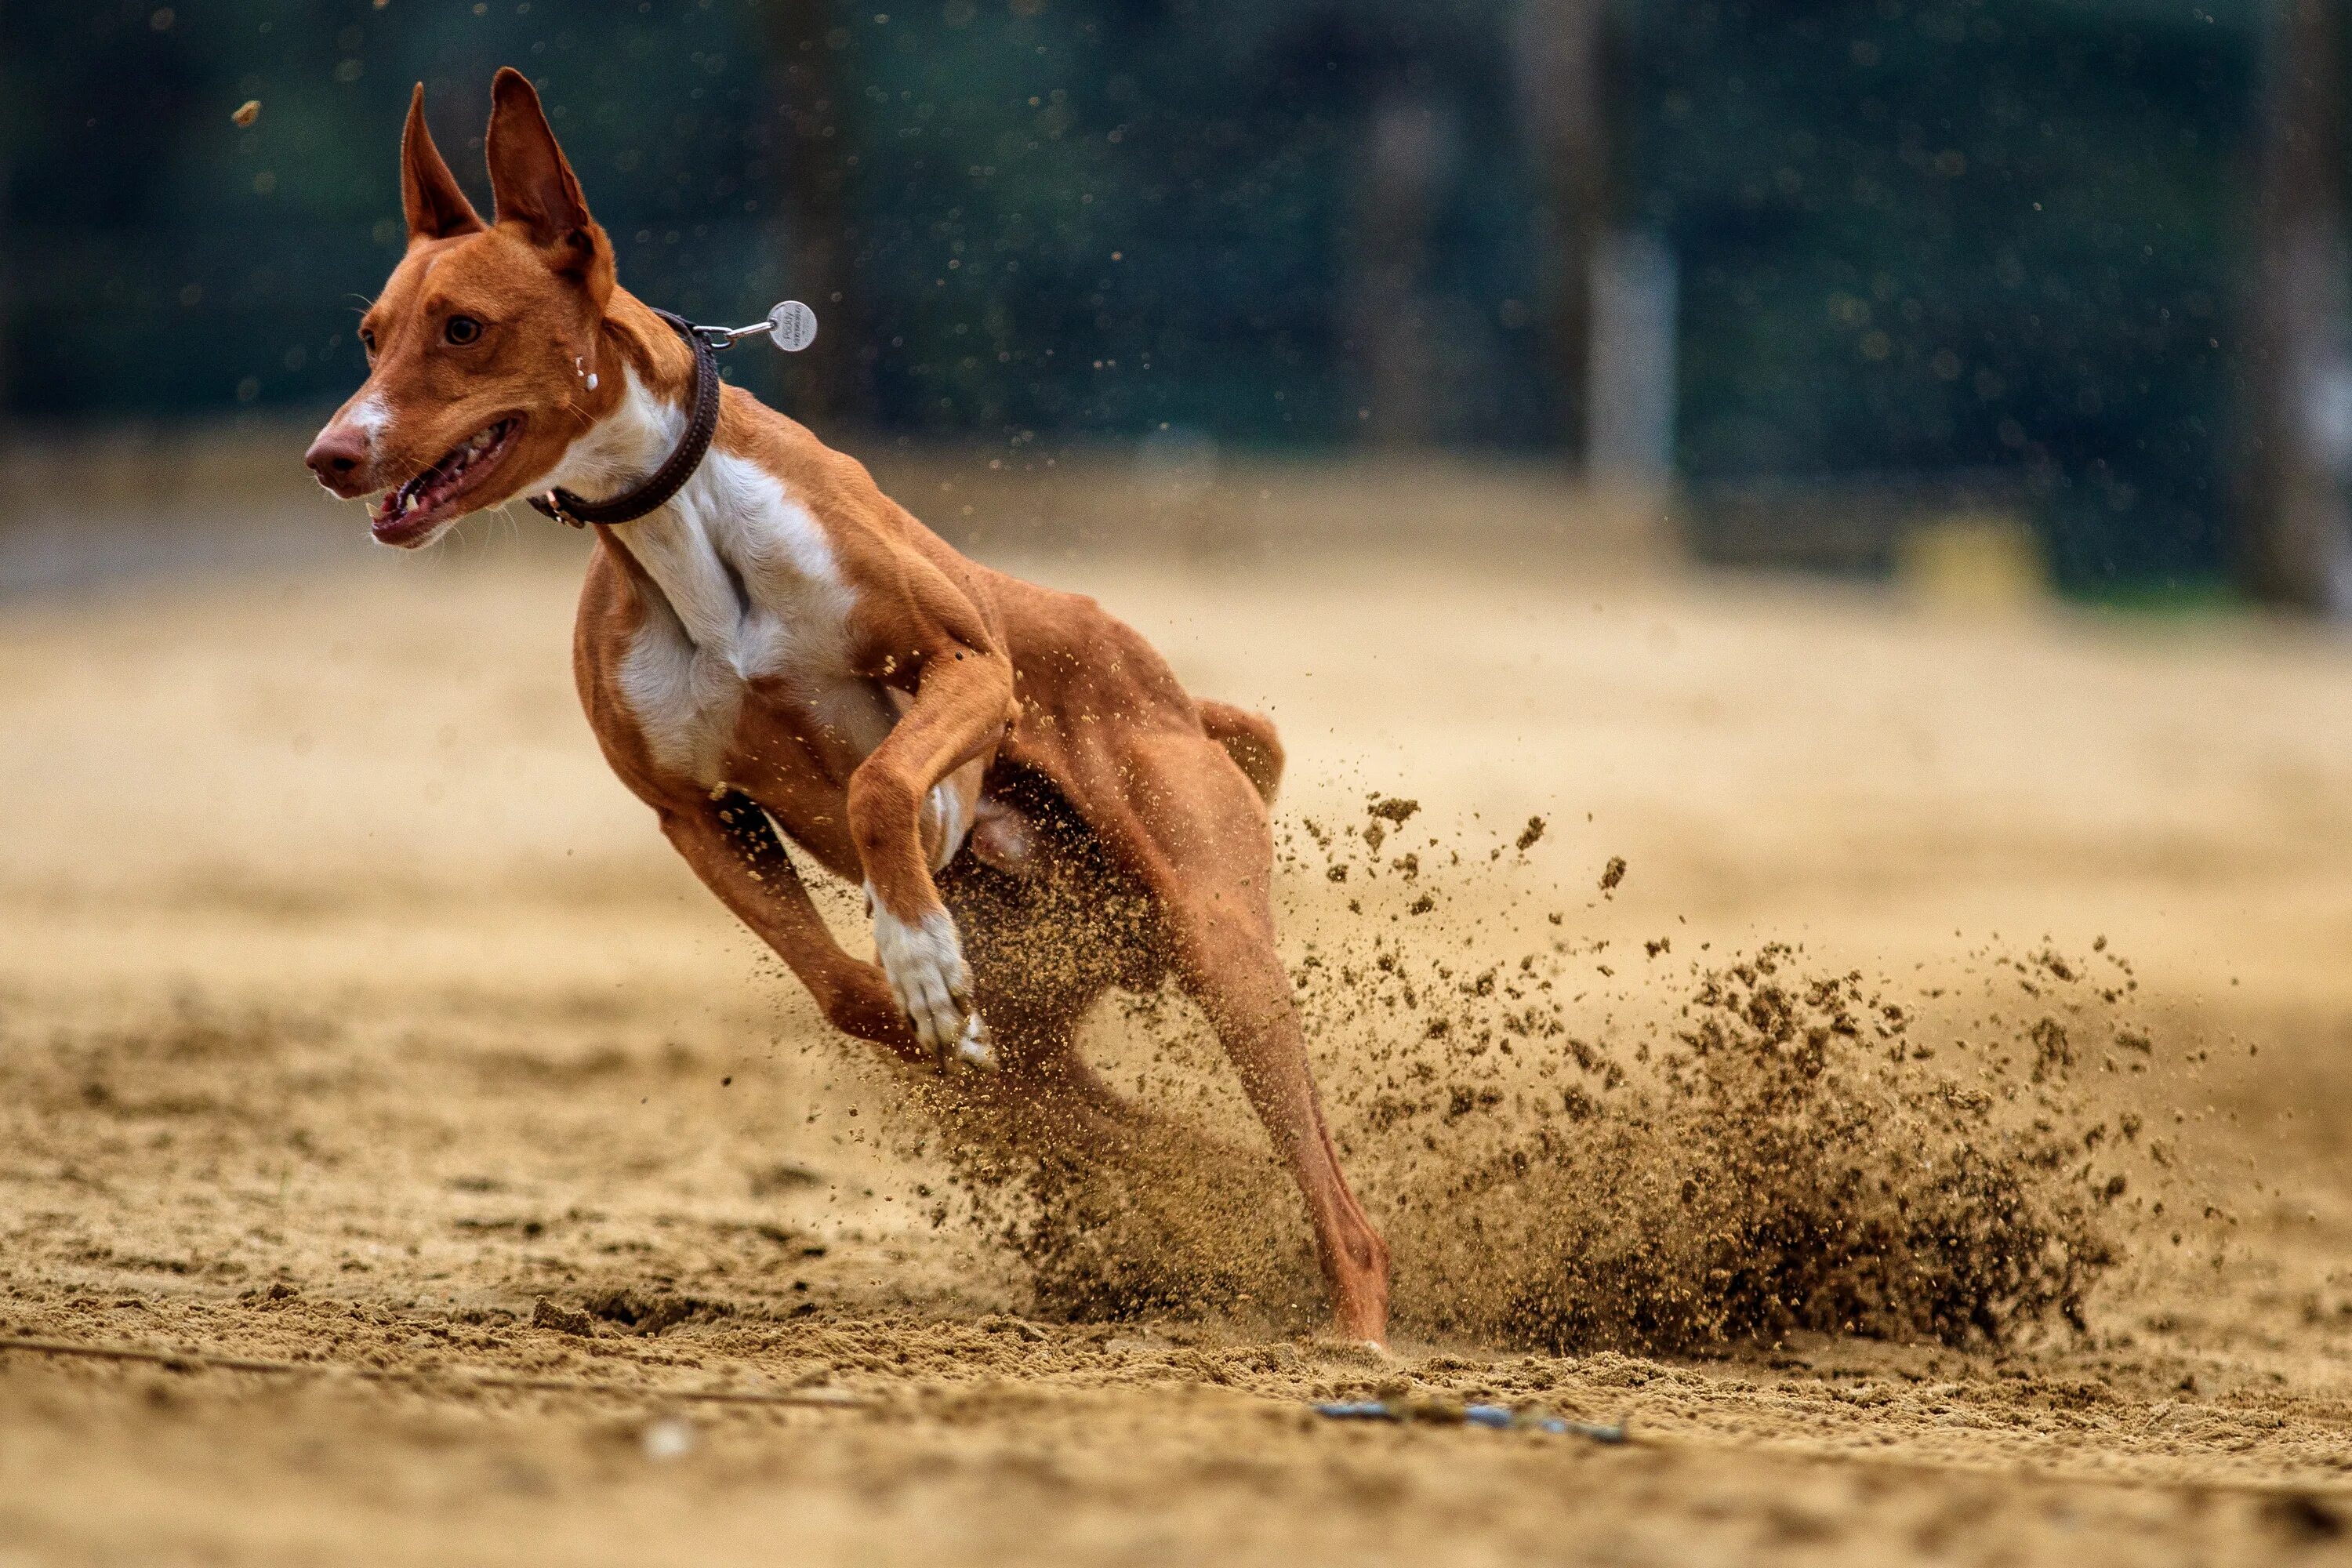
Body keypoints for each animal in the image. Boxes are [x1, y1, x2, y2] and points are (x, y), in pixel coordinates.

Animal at [303, 73, 1383, 1345]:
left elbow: (879, 783)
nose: (330, 454)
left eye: (464, 327)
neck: (681, 523)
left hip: (1217, 932)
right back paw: (1195, 1169)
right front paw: (919, 990)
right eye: (371, 336)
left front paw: (914, 941)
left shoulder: (970, 666)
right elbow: (848, 995)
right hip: (1069, 988)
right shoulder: (693, 810)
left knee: (1334, 1195)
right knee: (1112, 1112)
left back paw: (1355, 1334)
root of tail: (1167, 690)